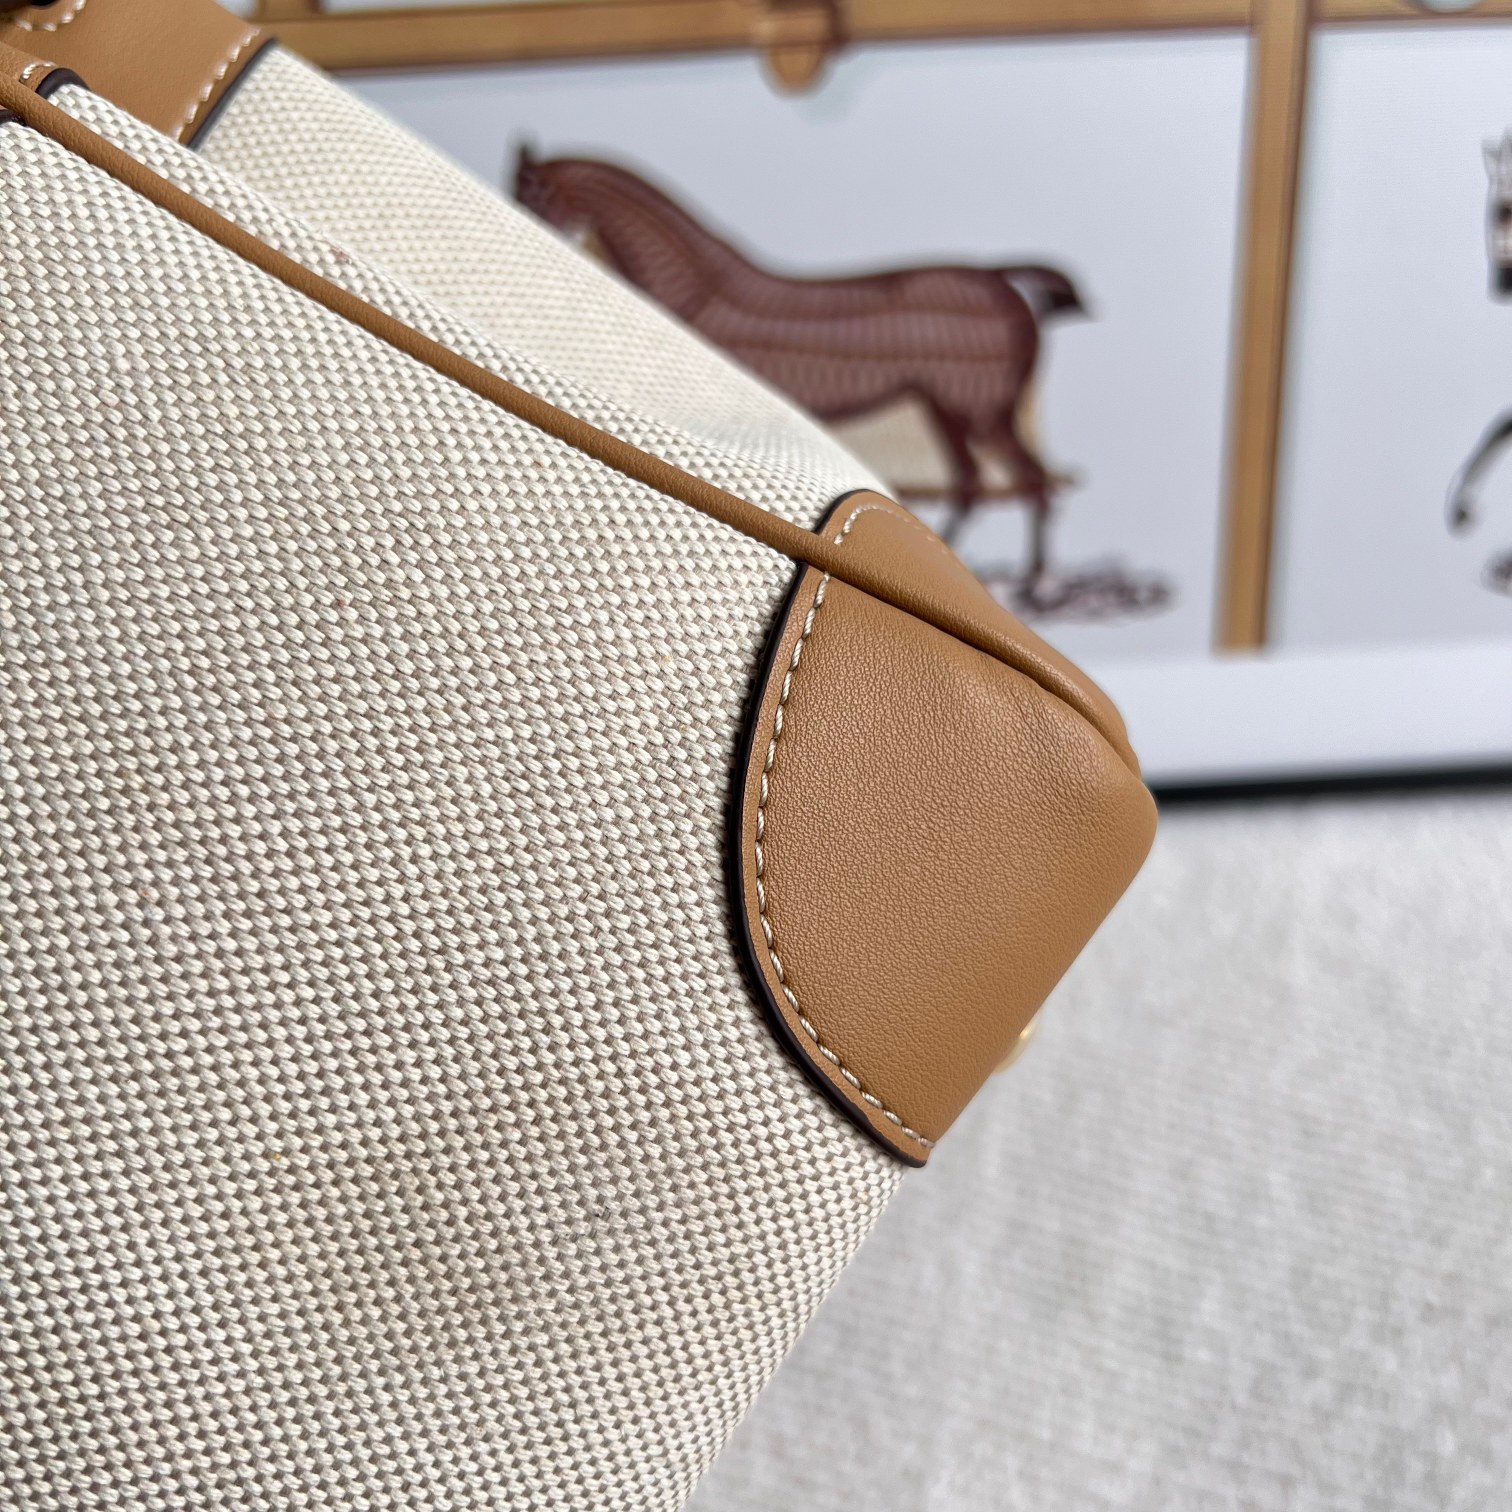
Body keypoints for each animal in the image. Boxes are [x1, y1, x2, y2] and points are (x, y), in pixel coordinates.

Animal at [513, 147, 1084, 584]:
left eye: (533, 194)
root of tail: (1001, 278)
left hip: (974, 406)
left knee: (1025, 481)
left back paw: (1033, 584)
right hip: (947, 407)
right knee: (978, 483)